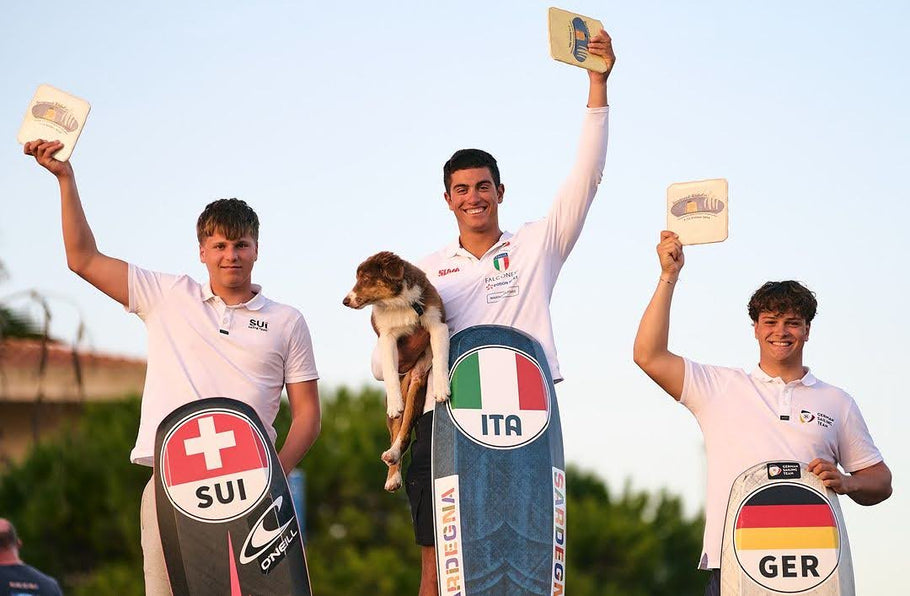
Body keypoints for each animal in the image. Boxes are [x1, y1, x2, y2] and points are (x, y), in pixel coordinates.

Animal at [344, 254, 450, 492]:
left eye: (365, 278)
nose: (345, 301)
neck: (398, 303)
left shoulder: (437, 324)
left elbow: (440, 358)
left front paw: (441, 388)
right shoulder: (387, 337)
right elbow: (390, 372)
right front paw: (394, 403)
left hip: (417, 382)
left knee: (405, 431)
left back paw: (393, 456)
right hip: (402, 388)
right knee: (396, 428)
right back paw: (392, 473)